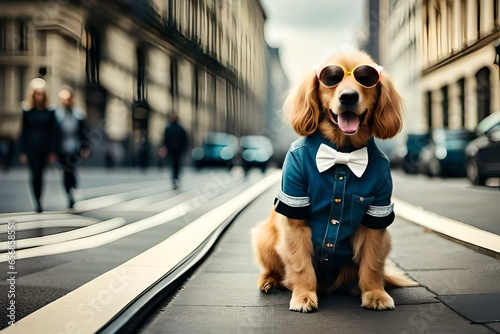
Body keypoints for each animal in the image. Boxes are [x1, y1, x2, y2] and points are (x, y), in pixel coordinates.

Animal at [250, 50, 418, 314]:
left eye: (365, 79)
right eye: (331, 78)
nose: (348, 97)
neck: (342, 151)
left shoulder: (377, 214)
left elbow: (372, 264)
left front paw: (375, 293)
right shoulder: (295, 216)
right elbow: (301, 265)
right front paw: (304, 295)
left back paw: (355, 287)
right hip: (263, 236)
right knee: (274, 267)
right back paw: (270, 280)